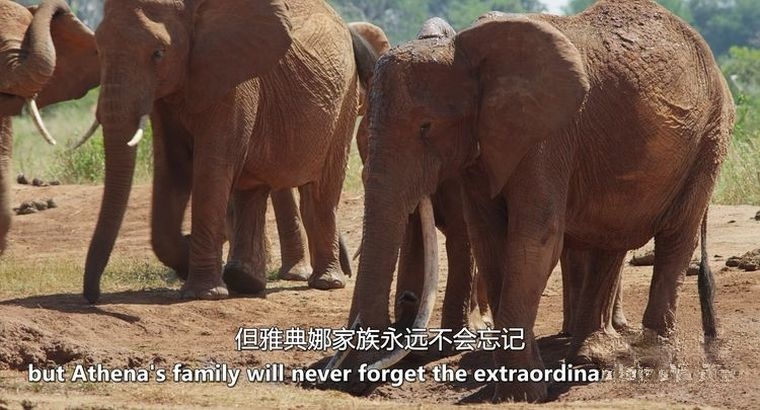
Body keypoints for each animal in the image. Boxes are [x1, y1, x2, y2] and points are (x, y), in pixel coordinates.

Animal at [81, 0, 380, 303]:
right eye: (98, 50)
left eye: (158, 53)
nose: (93, 297)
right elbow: (174, 166)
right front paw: (188, 260)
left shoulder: (235, 82)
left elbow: (212, 167)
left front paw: (202, 292)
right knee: (253, 191)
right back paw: (245, 280)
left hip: (344, 101)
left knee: (320, 190)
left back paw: (326, 283)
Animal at [334, 0, 734, 403]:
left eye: (426, 127)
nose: (354, 382)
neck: (465, 51)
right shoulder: (484, 145)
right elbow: (489, 238)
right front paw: (509, 385)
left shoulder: (549, 136)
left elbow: (535, 238)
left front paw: (520, 393)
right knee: (613, 234)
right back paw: (592, 357)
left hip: (710, 138)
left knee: (675, 238)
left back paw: (654, 361)